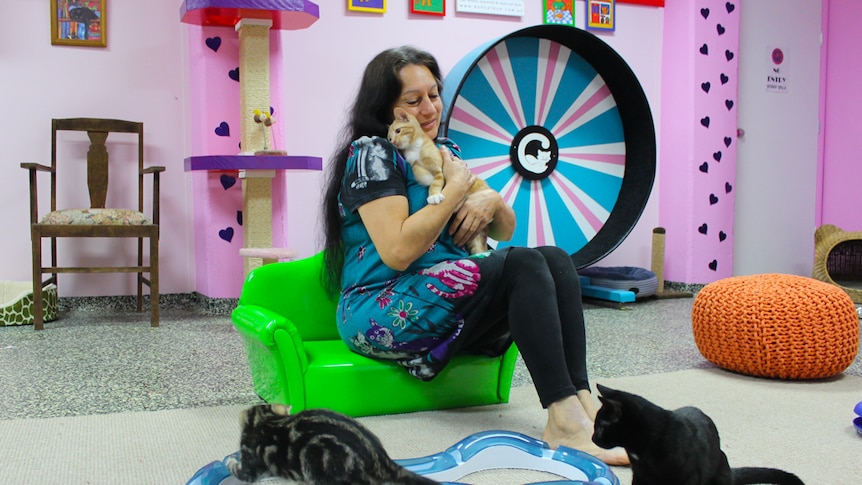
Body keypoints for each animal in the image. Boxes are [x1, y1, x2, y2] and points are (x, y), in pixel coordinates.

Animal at [226, 400, 438, 484]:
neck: (265, 420)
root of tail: (380, 458)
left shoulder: (250, 464)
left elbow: (238, 469)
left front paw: (230, 460)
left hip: (317, 463)